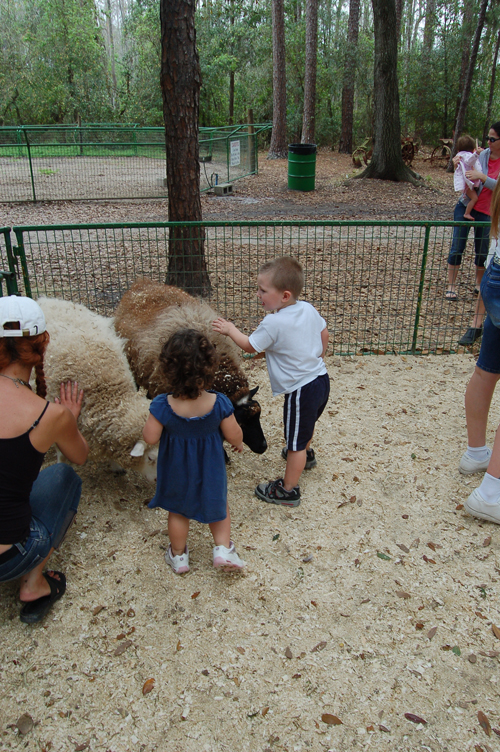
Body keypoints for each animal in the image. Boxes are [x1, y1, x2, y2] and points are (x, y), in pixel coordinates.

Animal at [37, 296, 157, 478]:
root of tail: (47, 300)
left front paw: (116, 465)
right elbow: (62, 452)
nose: (158, 480)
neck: (108, 395)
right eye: (150, 458)